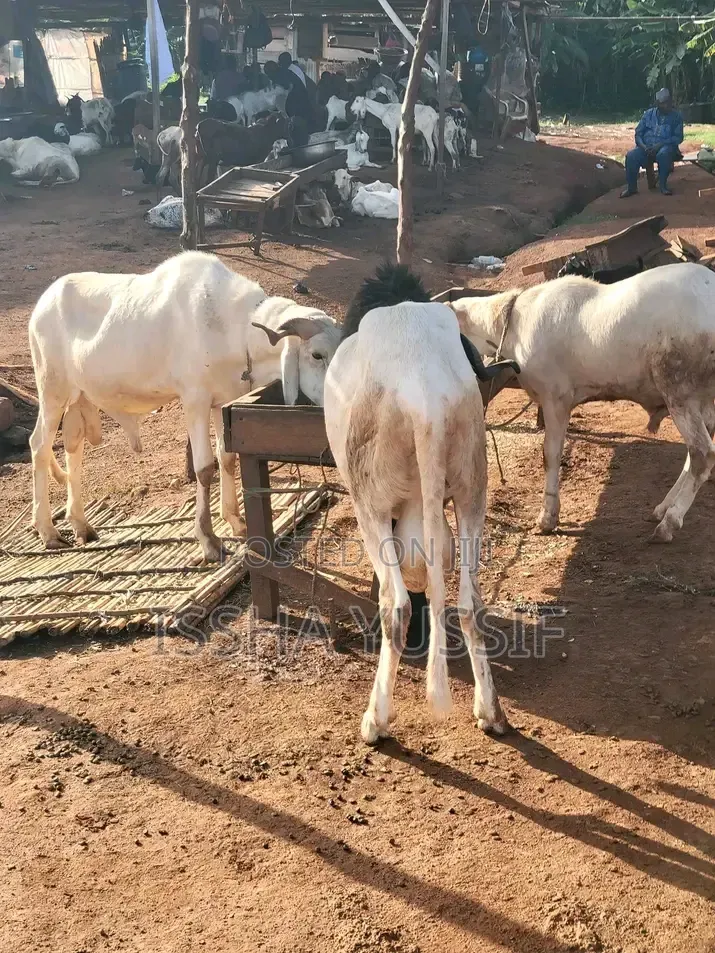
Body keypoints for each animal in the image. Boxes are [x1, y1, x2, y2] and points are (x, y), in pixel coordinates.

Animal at [29, 252, 342, 562]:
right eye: (317, 355)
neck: (236, 330)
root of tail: (43, 303)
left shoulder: (222, 402)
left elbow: (227, 458)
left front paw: (235, 521)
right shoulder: (195, 400)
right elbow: (204, 468)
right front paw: (208, 540)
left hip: (77, 398)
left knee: (73, 448)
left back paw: (81, 524)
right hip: (52, 389)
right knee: (39, 446)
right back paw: (48, 531)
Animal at [324, 262, 508, 743]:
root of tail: (422, 395)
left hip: (368, 501)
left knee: (398, 605)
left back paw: (375, 720)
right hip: (472, 481)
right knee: (470, 603)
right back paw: (490, 712)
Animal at [453, 263, 715, 543]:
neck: (513, 324)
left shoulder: (555, 399)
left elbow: (550, 454)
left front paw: (547, 517)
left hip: (679, 389)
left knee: (702, 453)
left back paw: (670, 522)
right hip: (701, 397)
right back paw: (663, 507)